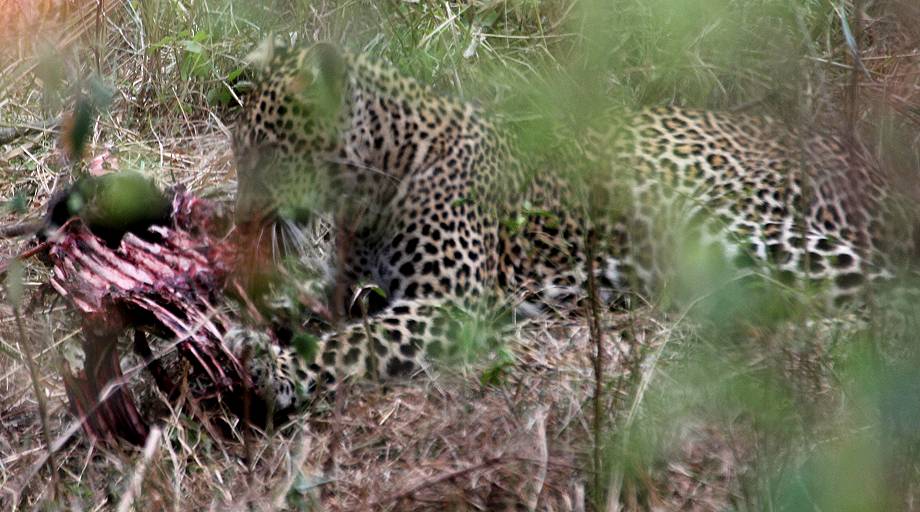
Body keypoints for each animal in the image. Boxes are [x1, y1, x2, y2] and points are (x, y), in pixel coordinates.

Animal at [226, 42, 916, 414]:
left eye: (269, 153)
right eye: (240, 153)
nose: (242, 215)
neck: (373, 183)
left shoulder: (452, 305)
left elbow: (350, 343)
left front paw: (270, 365)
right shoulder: (351, 291)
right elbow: (326, 319)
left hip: (726, 225)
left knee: (886, 297)